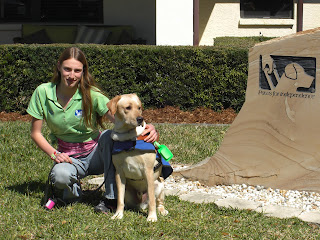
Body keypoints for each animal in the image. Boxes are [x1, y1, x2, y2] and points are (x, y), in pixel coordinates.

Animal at [107, 93, 169, 221]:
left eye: (139, 107)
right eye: (128, 107)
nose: (140, 119)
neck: (128, 137)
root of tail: (142, 203)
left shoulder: (148, 171)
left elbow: (152, 200)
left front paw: (152, 217)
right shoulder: (119, 173)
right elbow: (120, 200)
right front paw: (118, 214)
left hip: (159, 185)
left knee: (157, 202)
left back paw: (162, 211)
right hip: (128, 192)